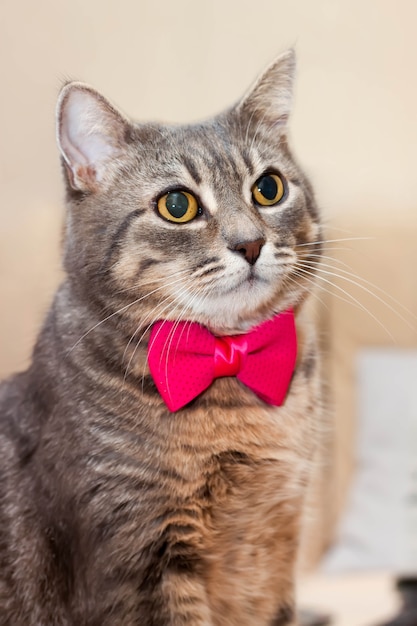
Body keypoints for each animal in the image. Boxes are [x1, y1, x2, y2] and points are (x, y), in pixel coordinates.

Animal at [0, 50, 322, 624]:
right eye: (178, 205)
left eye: (269, 188)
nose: (251, 243)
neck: (227, 358)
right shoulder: (139, 559)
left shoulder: (280, 544)